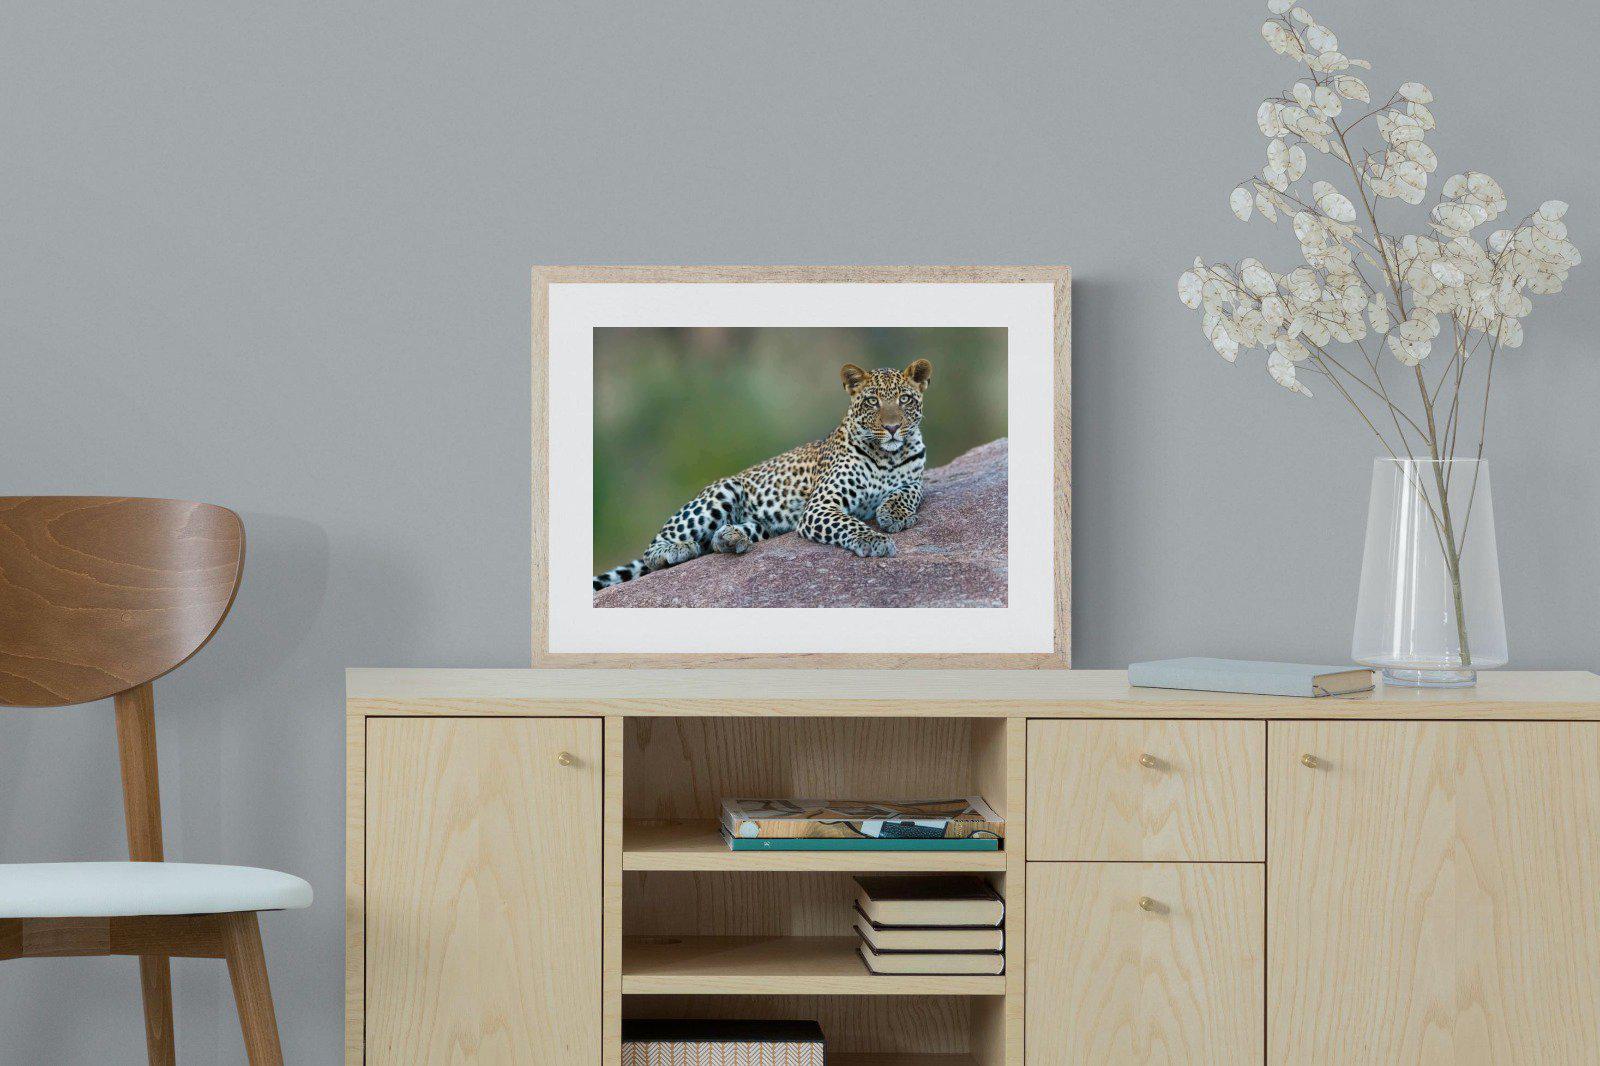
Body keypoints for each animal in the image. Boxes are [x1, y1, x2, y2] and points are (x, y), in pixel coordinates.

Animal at [593, 358, 933, 591]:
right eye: (872, 401)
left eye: (904, 399)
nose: (892, 427)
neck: (887, 455)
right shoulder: (820, 506)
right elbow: (848, 522)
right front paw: (874, 539)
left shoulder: (915, 478)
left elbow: (910, 491)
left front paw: (894, 514)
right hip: (722, 491)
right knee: (654, 549)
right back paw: (678, 549)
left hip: (765, 525)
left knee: (718, 539)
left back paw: (731, 538)